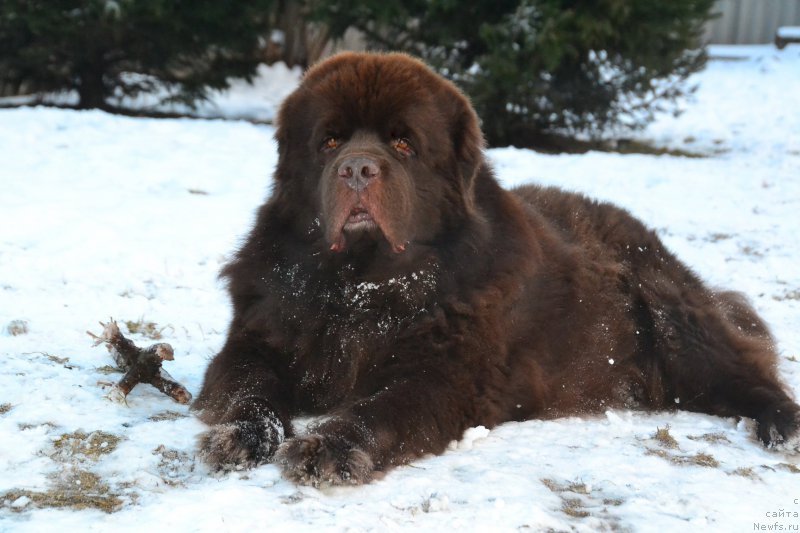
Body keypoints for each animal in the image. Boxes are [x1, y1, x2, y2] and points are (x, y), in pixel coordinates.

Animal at [192, 52, 792, 484]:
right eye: (330, 140)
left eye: (403, 143)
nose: (358, 168)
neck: (363, 285)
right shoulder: (252, 340)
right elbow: (250, 388)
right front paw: (241, 435)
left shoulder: (445, 374)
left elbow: (379, 408)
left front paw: (327, 446)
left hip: (674, 321)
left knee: (745, 370)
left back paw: (782, 425)